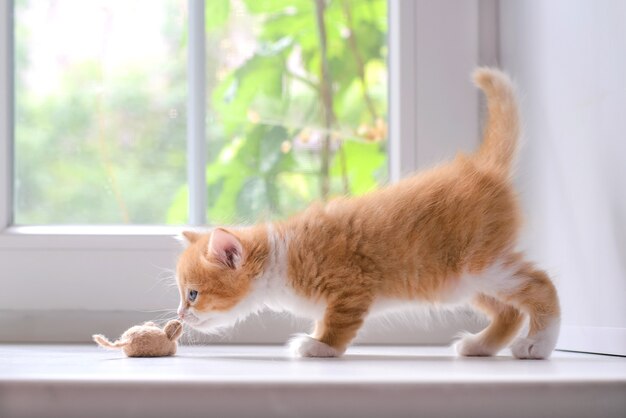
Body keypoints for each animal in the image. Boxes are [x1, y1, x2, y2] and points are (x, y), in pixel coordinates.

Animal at [177, 68, 560, 360]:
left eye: (192, 294)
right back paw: (481, 345)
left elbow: (339, 321)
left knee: (541, 284)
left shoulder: (351, 284)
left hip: (483, 264)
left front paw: (320, 346)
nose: (180, 314)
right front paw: (317, 338)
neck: (281, 253)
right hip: (463, 282)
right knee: (510, 310)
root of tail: (483, 170)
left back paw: (538, 344)